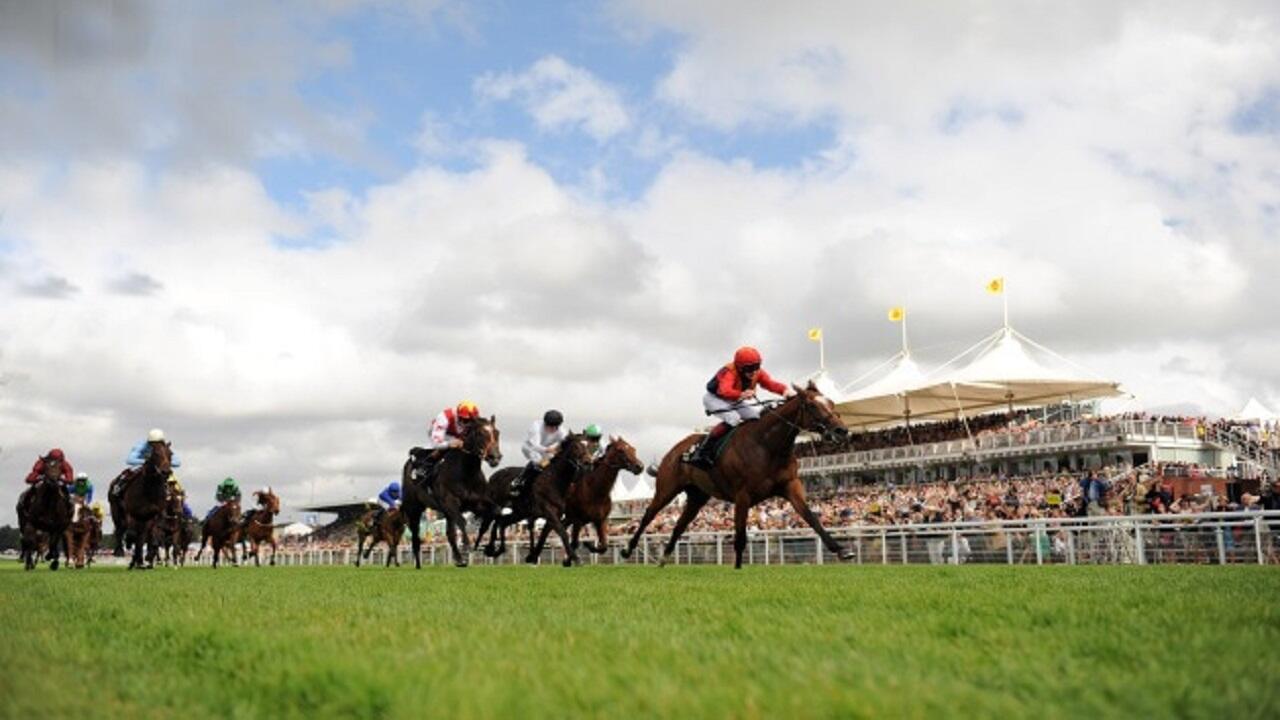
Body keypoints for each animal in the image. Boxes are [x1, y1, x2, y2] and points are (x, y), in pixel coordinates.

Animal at [616, 381, 849, 566]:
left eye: (831, 403)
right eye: (812, 405)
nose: (841, 430)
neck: (768, 446)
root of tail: (675, 450)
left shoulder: (790, 485)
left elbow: (811, 517)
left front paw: (841, 550)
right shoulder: (742, 495)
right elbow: (740, 537)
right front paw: (737, 569)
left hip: (697, 497)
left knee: (680, 525)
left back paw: (664, 559)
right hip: (667, 488)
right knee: (648, 514)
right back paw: (627, 550)